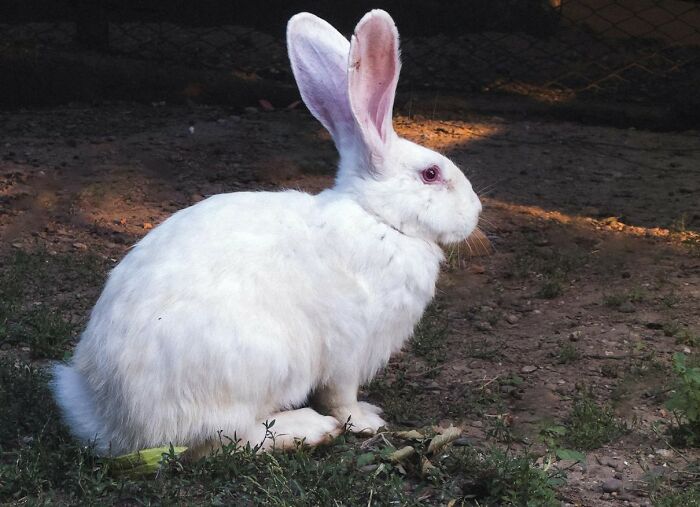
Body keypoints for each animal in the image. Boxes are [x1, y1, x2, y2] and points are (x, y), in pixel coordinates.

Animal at [52, 9, 482, 457]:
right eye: (431, 174)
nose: (476, 212)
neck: (377, 217)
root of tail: (114, 422)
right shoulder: (349, 351)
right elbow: (341, 397)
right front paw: (366, 421)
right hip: (257, 366)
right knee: (229, 438)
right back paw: (308, 428)